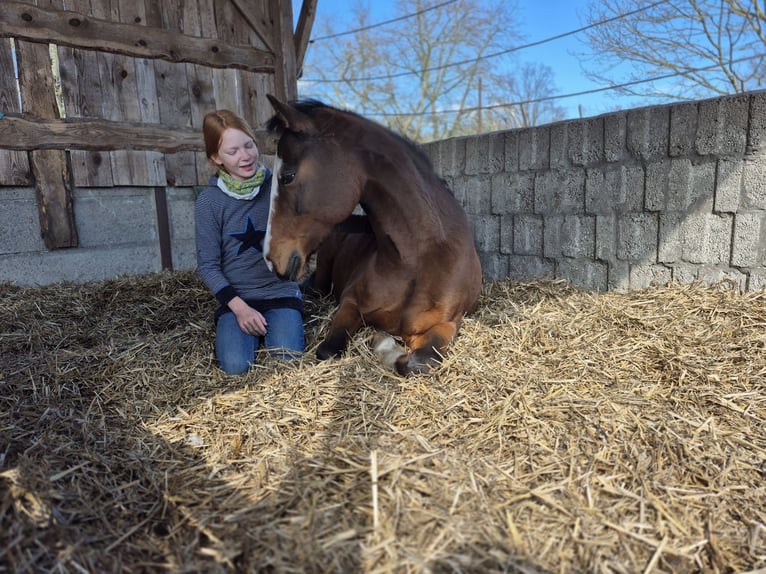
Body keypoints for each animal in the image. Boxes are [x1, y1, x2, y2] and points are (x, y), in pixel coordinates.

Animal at [263, 95, 482, 375]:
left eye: (287, 176)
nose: (270, 257)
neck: (416, 260)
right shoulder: (350, 303)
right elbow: (329, 349)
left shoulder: (446, 324)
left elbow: (419, 362)